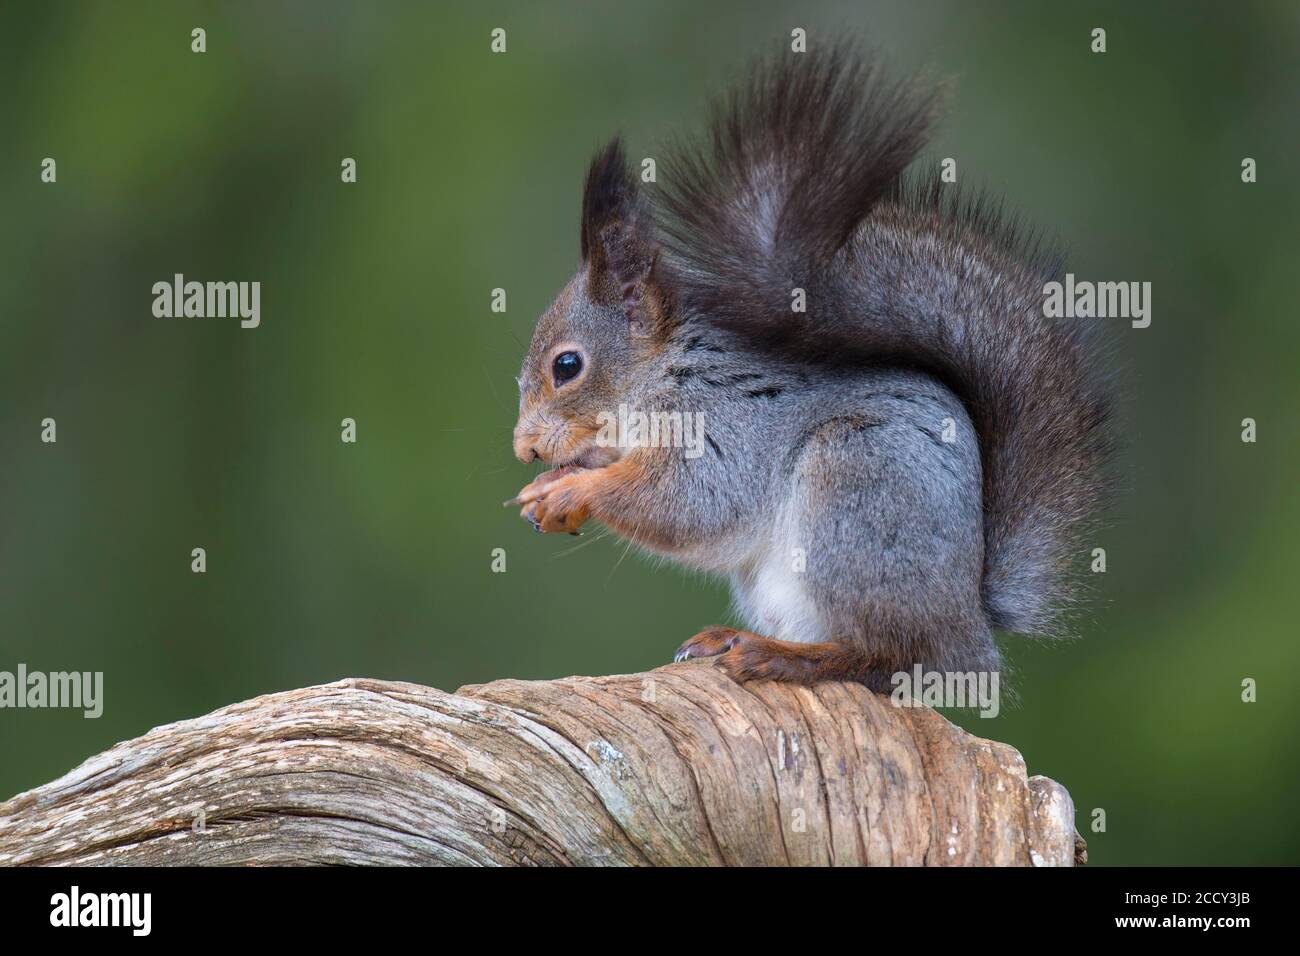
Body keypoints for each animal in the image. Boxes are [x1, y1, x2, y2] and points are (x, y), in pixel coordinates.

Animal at [501, 46, 1112, 686]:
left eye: (567, 365)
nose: (525, 449)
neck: (663, 368)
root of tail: (971, 625)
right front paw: (550, 483)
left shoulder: (721, 423)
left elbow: (690, 503)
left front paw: (573, 491)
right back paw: (732, 639)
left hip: (856, 492)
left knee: (891, 657)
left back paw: (785, 656)